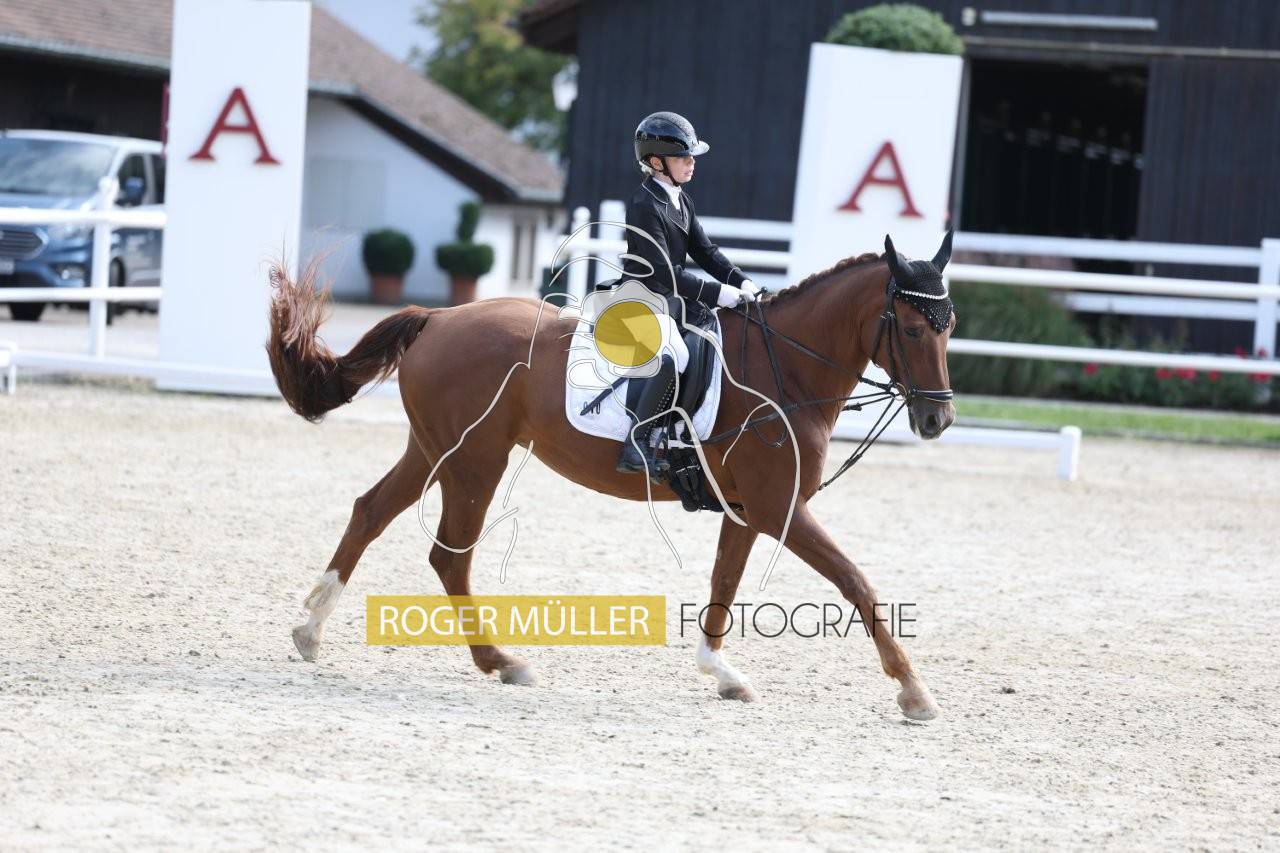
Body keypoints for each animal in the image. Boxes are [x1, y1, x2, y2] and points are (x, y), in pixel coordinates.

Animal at [266, 232, 956, 720]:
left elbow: (724, 583)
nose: (938, 418)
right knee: (448, 556)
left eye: (949, 329)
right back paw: (502, 661)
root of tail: (439, 318)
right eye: (912, 327)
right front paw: (915, 692)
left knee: (371, 511)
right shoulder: (778, 506)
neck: (783, 365)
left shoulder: (747, 509)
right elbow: (857, 583)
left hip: (436, 450)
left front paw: (721, 673)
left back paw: (310, 630)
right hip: (475, 461)